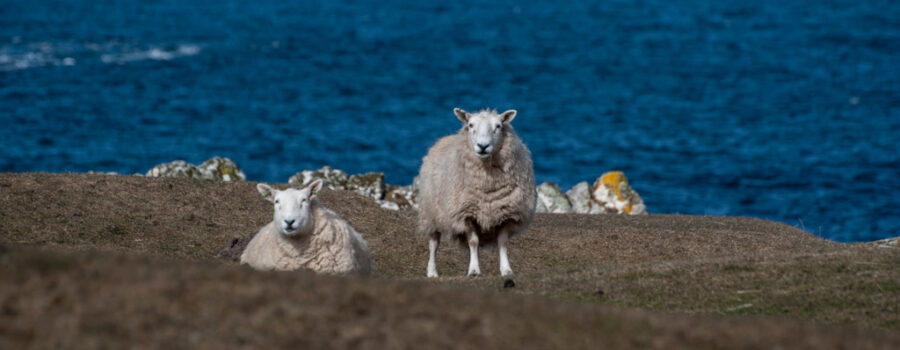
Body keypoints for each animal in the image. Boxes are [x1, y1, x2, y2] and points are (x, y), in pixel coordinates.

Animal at [418, 108, 536, 278]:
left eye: (498, 126)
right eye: (470, 125)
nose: (483, 146)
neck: (487, 186)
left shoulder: (506, 214)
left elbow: (502, 243)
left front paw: (506, 269)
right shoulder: (466, 214)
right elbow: (473, 242)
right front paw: (474, 270)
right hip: (430, 214)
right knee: (434, 243)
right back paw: (432, 271)